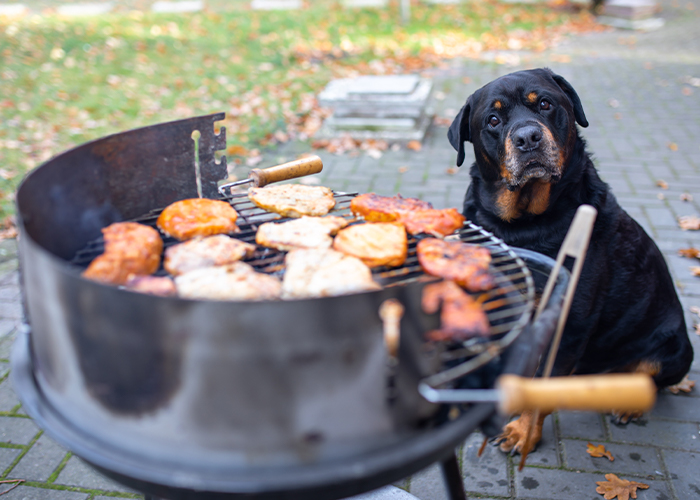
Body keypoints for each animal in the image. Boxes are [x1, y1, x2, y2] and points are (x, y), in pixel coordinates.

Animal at [448, 68, 696, 456]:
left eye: (545, 104)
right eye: (493, 120)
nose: (528, 137)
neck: (522, 225)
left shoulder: (569, 323)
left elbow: (542, 383)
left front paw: (523, 432)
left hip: (676, 348)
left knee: (649, 377)